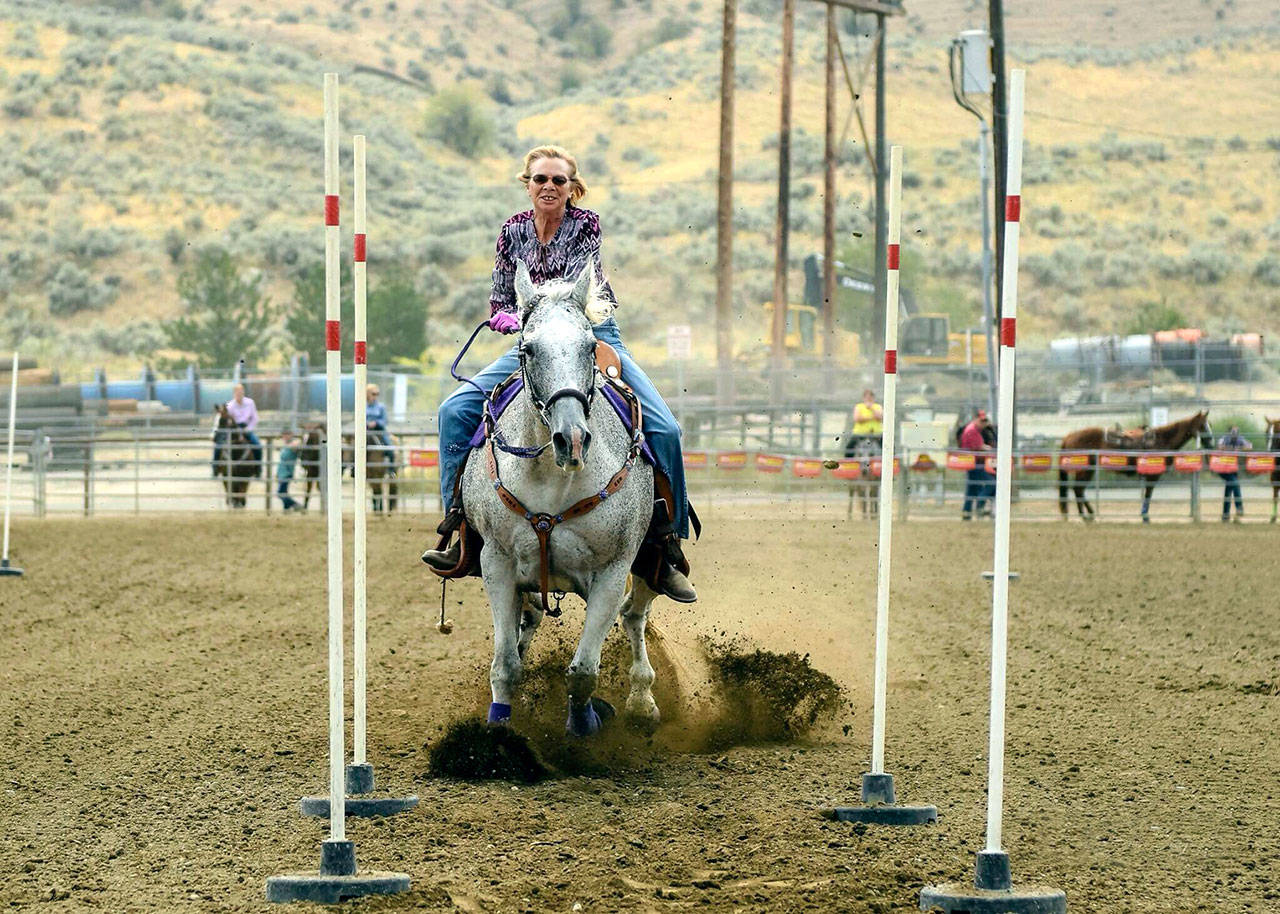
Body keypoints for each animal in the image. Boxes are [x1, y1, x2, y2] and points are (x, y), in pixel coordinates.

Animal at [461, 260, 658, 738]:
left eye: (589, 347)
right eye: (528, 349)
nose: (571, 439)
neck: (552, 479)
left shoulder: (612, 571)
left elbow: (583, 672)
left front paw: (584, 725)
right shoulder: (497, 563)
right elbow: (506, 666)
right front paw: (498, 728)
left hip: (648, 561)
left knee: (634, 615)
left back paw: (642, 699)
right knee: (531, 621)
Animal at [1058, 410, 1212, 523]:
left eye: (1208, 423)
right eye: (1202, 425)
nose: (1211, 442)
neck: (1160, 440)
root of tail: (1068, 436)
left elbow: (1147, 495)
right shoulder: (1152, 476)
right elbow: (1148, 495)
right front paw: (1145, 517)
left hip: (1088, 470)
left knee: (1079, 490)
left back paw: (1089, 515)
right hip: (1084, 470)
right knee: (1078, 489)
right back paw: (1086, 515)